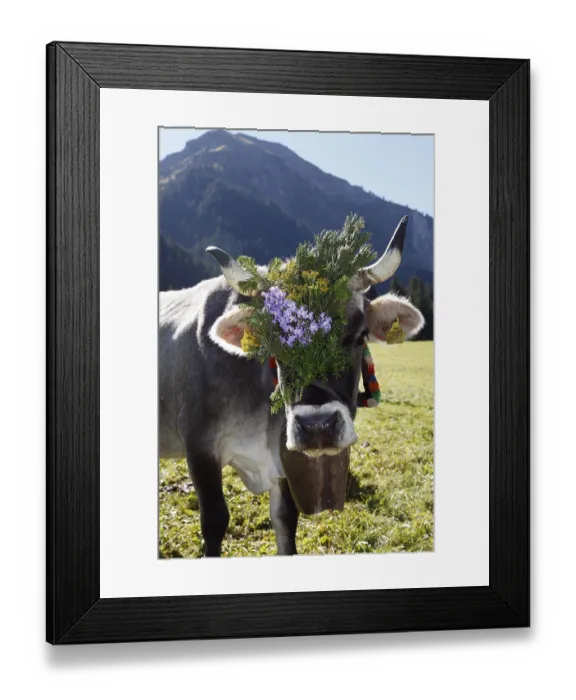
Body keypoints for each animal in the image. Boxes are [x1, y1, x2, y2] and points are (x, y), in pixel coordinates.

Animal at [159, 216, 425, 557]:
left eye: (360, 334)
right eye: (275, 341)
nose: (318, 426)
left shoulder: (283, 461)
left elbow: (286, 521)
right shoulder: (199, 445)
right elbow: (215, 520)